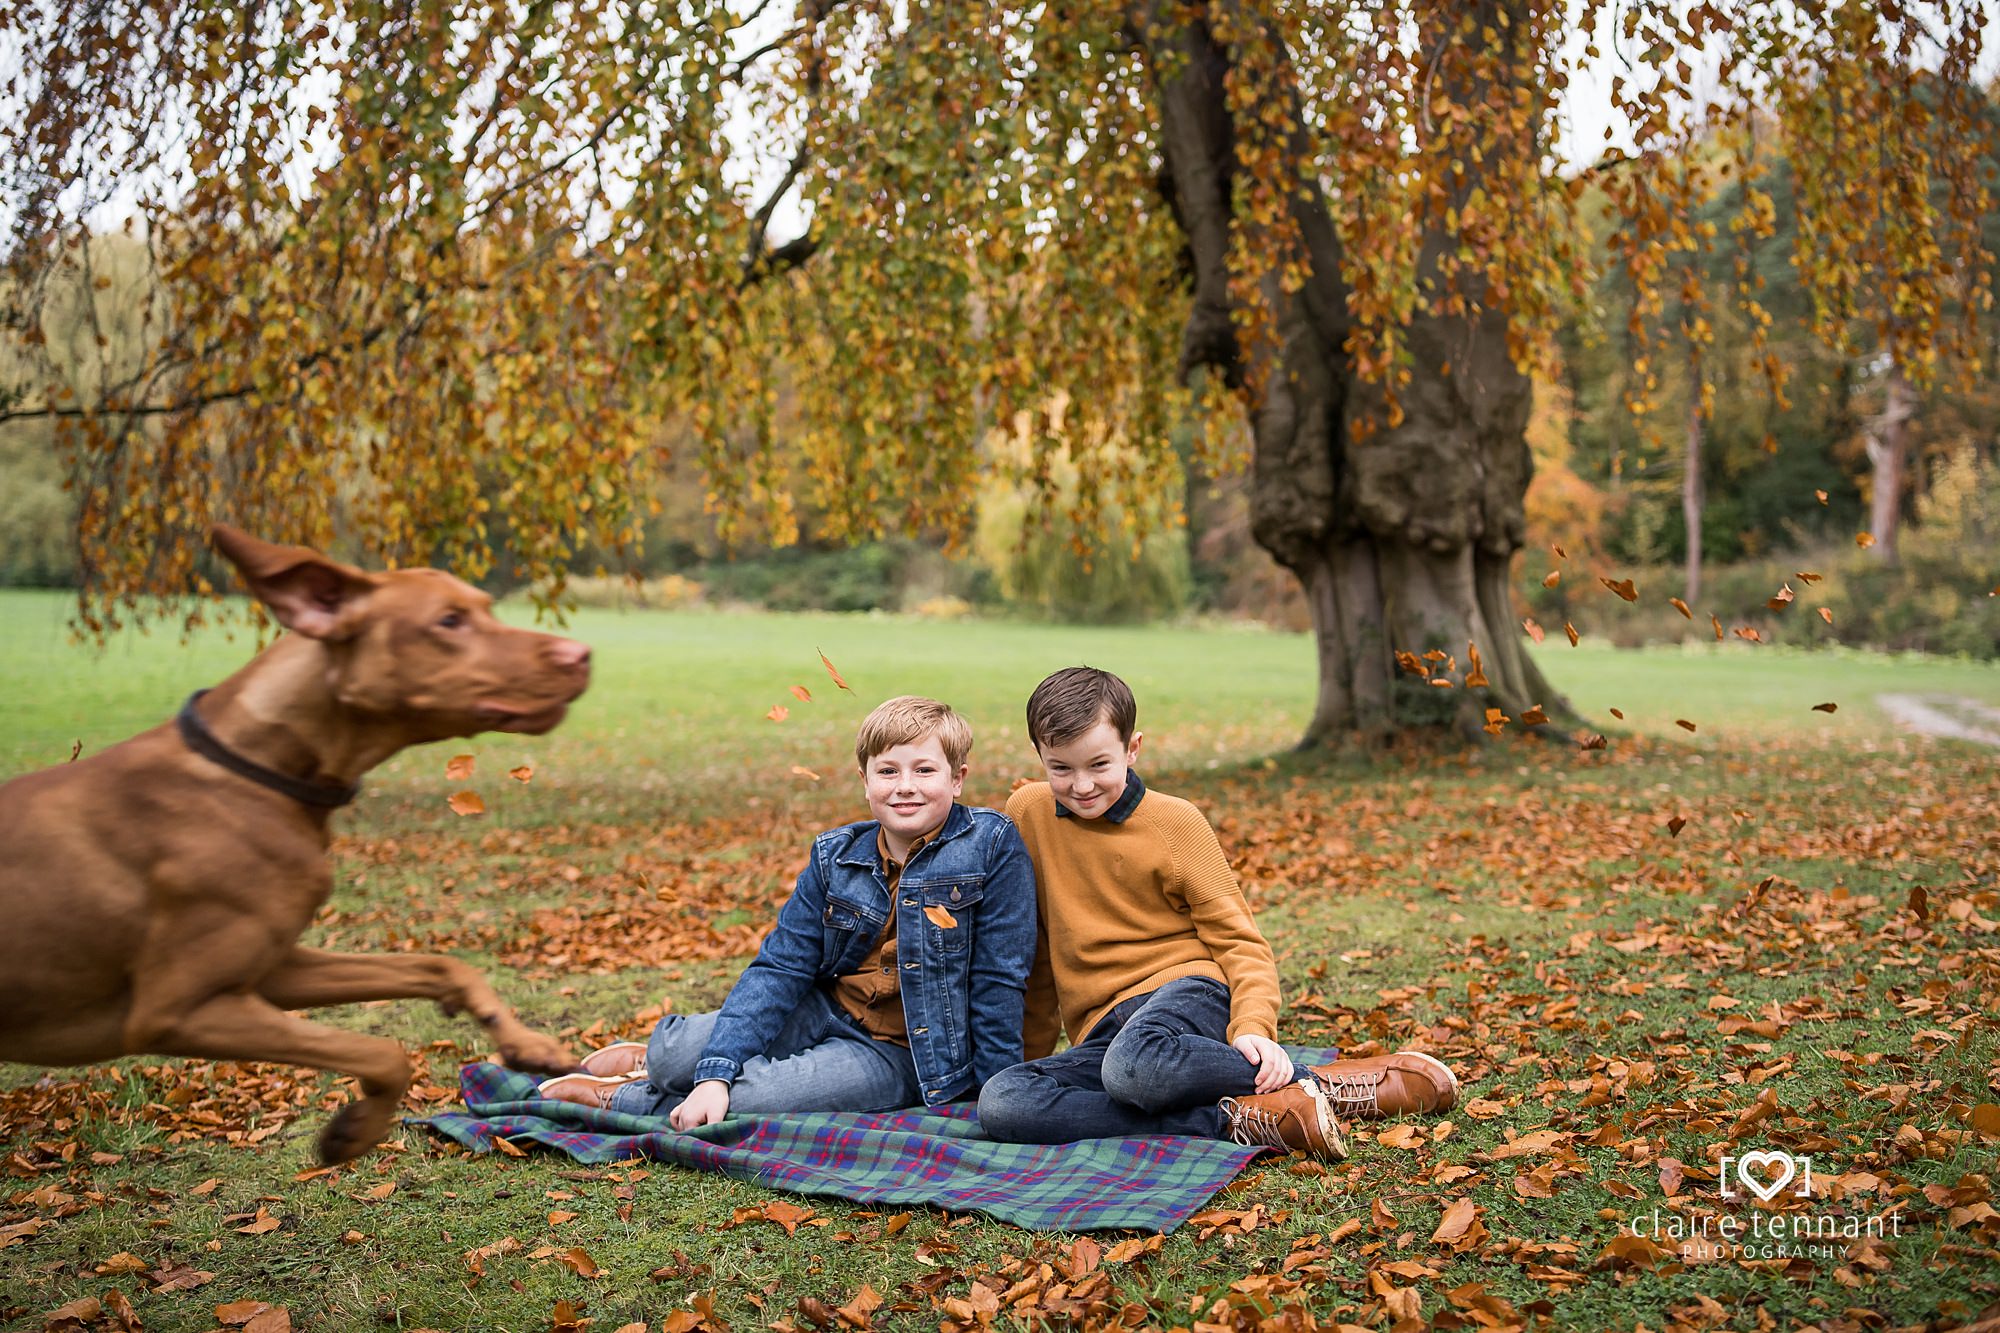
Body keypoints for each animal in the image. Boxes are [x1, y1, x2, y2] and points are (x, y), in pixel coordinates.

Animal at [0, 524, 588, 1160]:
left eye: (482, 607)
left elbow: (438, 963)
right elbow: (384, 1051)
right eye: (449, 620)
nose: (581, 655)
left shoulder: (272, 972)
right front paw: (356, 1130)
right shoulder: (176, 1010)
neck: (261, 770)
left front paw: (528, 1044)